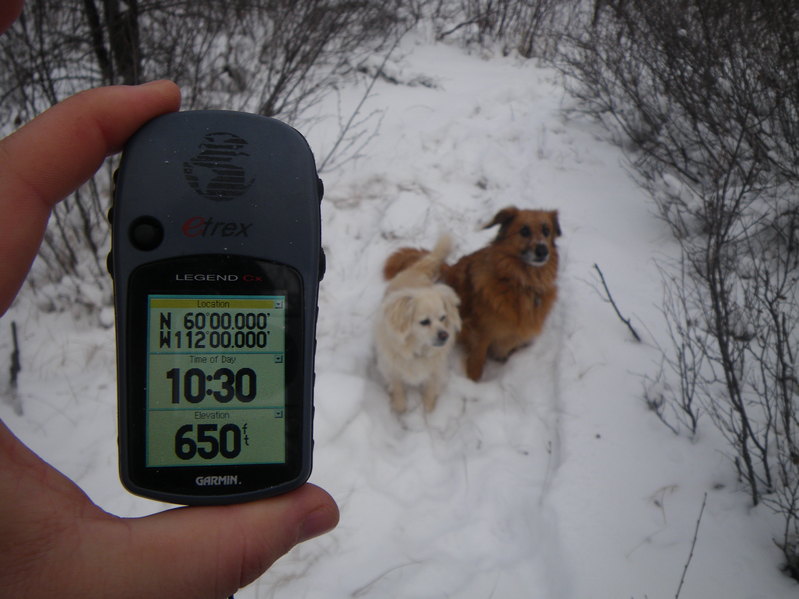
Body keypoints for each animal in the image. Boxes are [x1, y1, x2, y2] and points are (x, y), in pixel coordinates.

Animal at [376, 237, 462, 414]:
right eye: (424, 322)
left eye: (443, 318)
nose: (445, 335)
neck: (418, 350)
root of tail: (416, 270)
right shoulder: (392, 369)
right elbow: (397, 386)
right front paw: (400, 406)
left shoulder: (435, 371)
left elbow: (430, 387)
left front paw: (428, 408)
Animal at [388, 206, 564, 382]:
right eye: (524, 230)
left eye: (546, 230)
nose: (542, 250)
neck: (520, 283)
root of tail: (449, 268)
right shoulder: (481, 333)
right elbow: (476, 363)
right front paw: (473, 382)